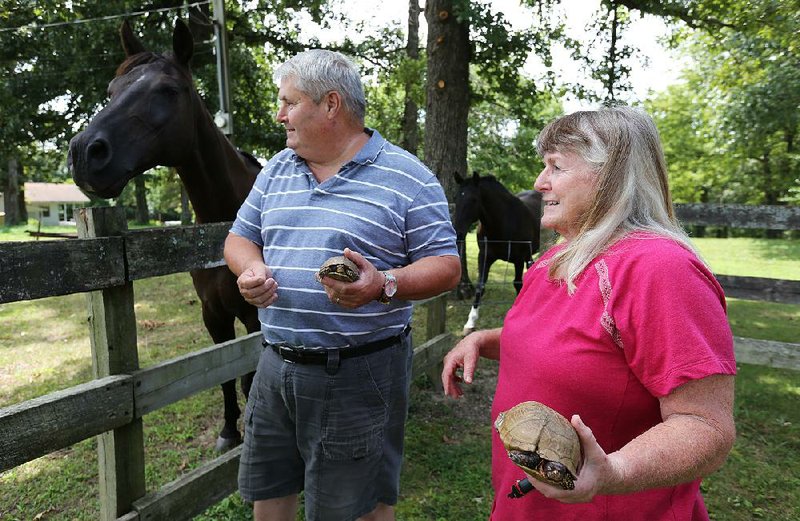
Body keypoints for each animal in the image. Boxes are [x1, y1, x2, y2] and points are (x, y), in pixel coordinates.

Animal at [69, 19, 260, 450]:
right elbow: (225, 376)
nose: (86, 152)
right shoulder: (214, 315)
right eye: (111, 89)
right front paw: (228, 432)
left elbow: (252, 375)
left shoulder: (256, 316)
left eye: (169, 90)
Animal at [454, 171, 540, 334]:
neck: (502, 222)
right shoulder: (485, 257)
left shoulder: (519, 259)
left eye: (474, 199)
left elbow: (518, 284)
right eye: (456, 199)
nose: (458, 233)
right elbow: (480, 286)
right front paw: (470, 322)